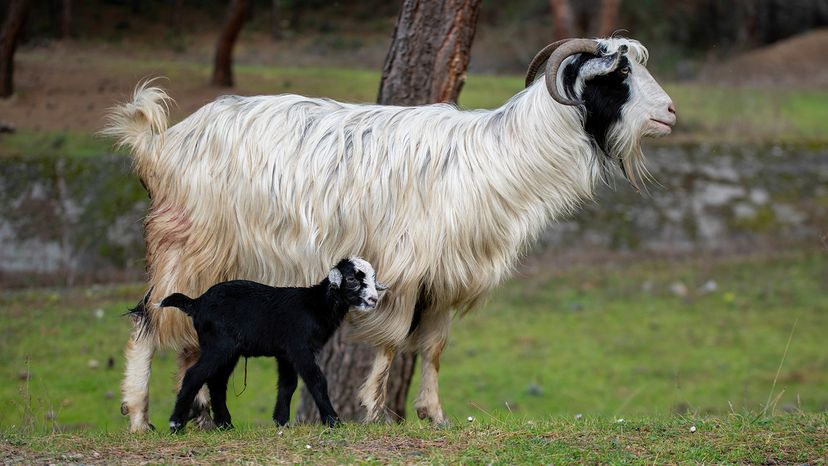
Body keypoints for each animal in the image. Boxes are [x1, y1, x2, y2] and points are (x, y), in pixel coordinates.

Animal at [161, 257, 385, 431]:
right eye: (351, 279)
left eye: (373, 277)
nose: (373, 299)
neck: (316, 305)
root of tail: (196, 303)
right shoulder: (300, 347)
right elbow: (317, 381)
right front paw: (333, 421)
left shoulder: (285, 353)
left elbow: (288, 385)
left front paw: (281, 422)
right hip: (218, 345)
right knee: (194, 375)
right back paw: (176, 424)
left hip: (229, 351)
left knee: (217, 382)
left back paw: (225, 425)